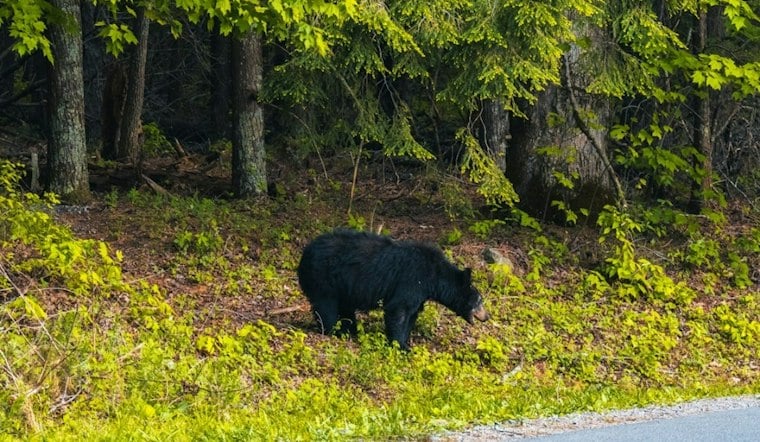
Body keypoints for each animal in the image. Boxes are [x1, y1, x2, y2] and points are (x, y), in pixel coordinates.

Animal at [297, 229, 489, 349]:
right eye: (479, 301)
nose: (487, 317)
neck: (435, 277)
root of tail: (304, 253)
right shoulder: (412, 280)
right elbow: (399, 309)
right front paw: (401, 345)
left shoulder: (420, 293)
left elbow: (412, 314)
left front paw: (406, 341)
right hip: (323, 277)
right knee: (326, 306)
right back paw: (333, 331)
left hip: (342, 285)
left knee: (345, 308)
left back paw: (349, 329)